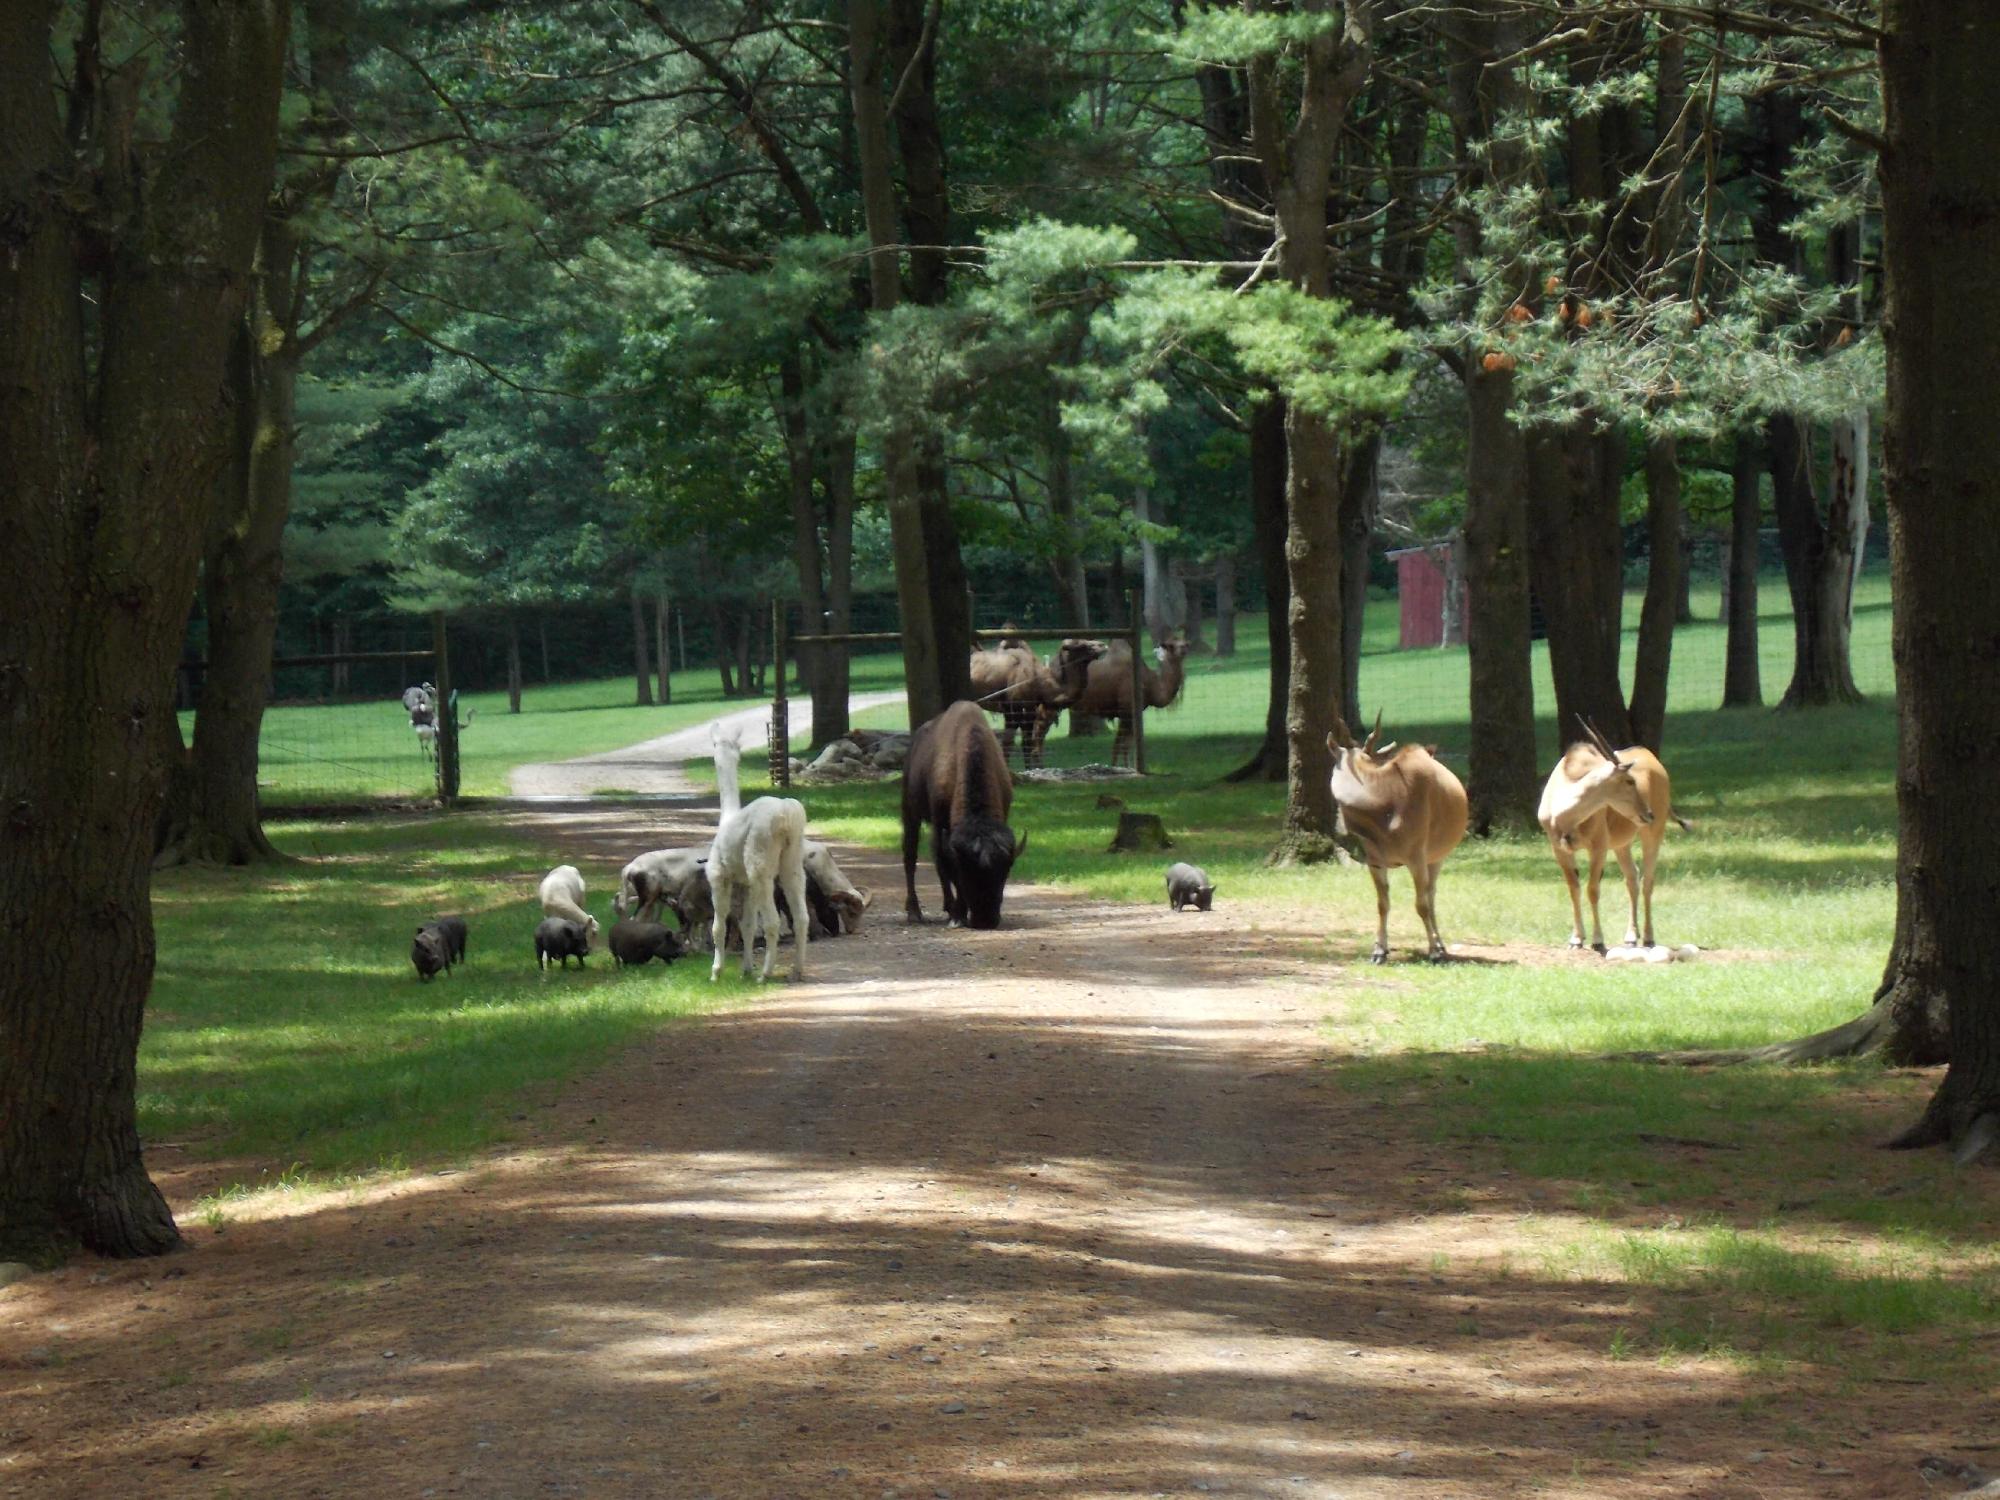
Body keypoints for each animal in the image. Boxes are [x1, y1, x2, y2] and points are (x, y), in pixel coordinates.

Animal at [908, 704, 1032, 928]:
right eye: (966, 871)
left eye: (1005, 871)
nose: (986, 920)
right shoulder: (940, 824)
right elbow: (945, 865)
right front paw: (957, 915)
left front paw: (958, 913)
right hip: (910, 810)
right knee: (910, 856)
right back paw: (915, 912)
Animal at [968, 636, 1112, 768]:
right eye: (1079, 644)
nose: (1103, 645)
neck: (1039, 683)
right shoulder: (1013, 708)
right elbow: (1008, 743)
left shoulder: (1030, 708)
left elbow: (1026, 743)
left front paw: (1029, 770)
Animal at [1048, 636, 1184, 768]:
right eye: (1171, 645)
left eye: (1181, 642)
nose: (1185, 646)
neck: (1150, 683)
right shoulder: (1127, 712)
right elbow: (1122, 746)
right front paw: (1125, 768)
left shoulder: (1128, 715)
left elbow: (1121, 744)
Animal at [1328, 712, 1472, 964]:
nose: (1339, 828)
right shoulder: (1376, 862)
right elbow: (1382, 904)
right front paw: (1379, 951)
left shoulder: (1416, 859)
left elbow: (1421, 905)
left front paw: (1434, 951)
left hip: (1436, 858)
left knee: (1430, 896)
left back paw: (1440, 946)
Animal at [1544, 720, 1688, 952]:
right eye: (1629, 781)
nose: (1649, 814)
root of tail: (1653, 760)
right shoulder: (1559, 849)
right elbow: (1574, 888)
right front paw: (1576, 939)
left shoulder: (1599, 847)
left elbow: (1592, 889)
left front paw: (1597, 940)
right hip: (1622, 845)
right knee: (1632, 878)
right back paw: (1631, 936)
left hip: (1652, 835)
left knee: (1647, 881)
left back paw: (1648, 937)